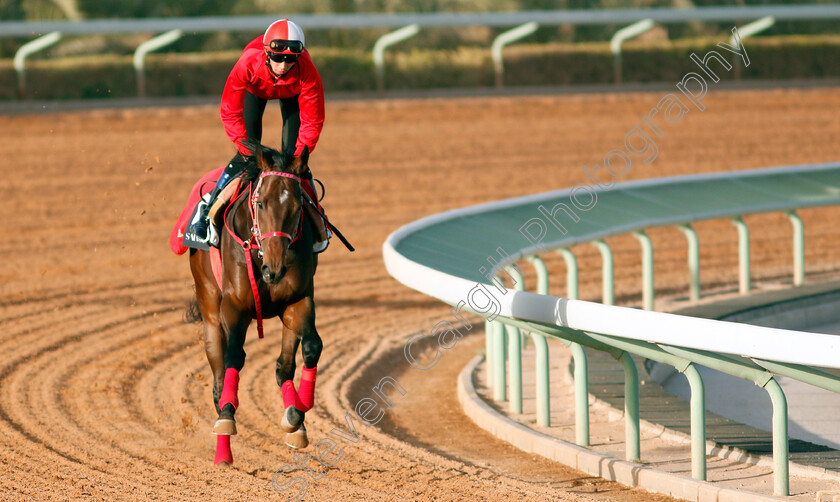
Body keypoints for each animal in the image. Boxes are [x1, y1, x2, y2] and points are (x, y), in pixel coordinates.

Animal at [189, 139, 320, 464]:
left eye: (298, 206)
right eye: (261, 203)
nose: (274, 268)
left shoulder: (297, 301)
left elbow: (311, 347)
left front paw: (298, 412)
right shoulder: (234, 306)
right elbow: (234, 358)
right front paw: (226, 420)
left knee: (284, 365)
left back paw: (295, 422)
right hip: (209, 304)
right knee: (218, 377)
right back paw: (223, 446)